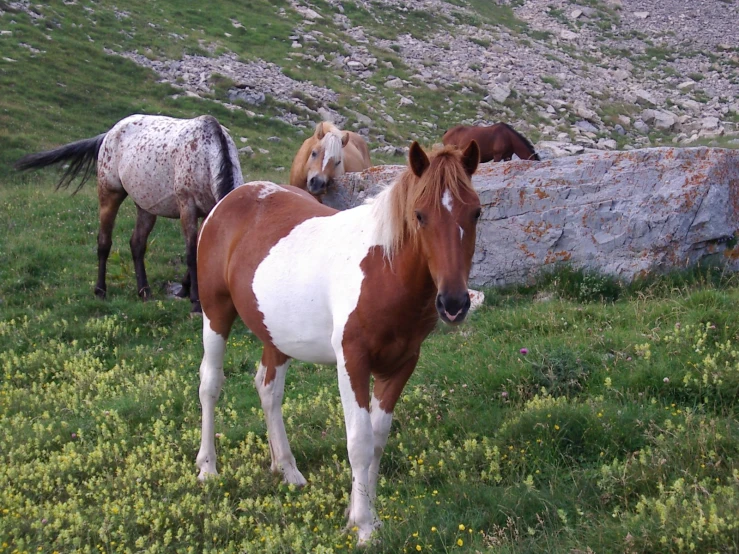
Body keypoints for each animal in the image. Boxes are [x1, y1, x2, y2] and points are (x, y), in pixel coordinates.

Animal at [14, 112, 244, 312]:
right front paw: (196, 302)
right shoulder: (187, 207)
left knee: (137, 244)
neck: (207, 155)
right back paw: (100, 290)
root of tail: (109, 133)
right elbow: (191, 253)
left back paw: (144, 291)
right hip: (109, 195)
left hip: (145, 206)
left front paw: (185, 290)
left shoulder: (209, 211)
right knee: (104, 242)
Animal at [197, 140, 482, 540]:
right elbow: (359, 442)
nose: (454, 303)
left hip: (276, 334)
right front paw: (363, 527)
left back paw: (287, 469)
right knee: (210, 384)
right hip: (215, 313)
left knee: (268, 390)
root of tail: (232, 197)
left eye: (476, 213)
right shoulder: (353, 361)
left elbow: (377, 439)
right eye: (420, 215)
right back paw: (207, 467)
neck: (383, 269)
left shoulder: (402, 363)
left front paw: (363, 513)